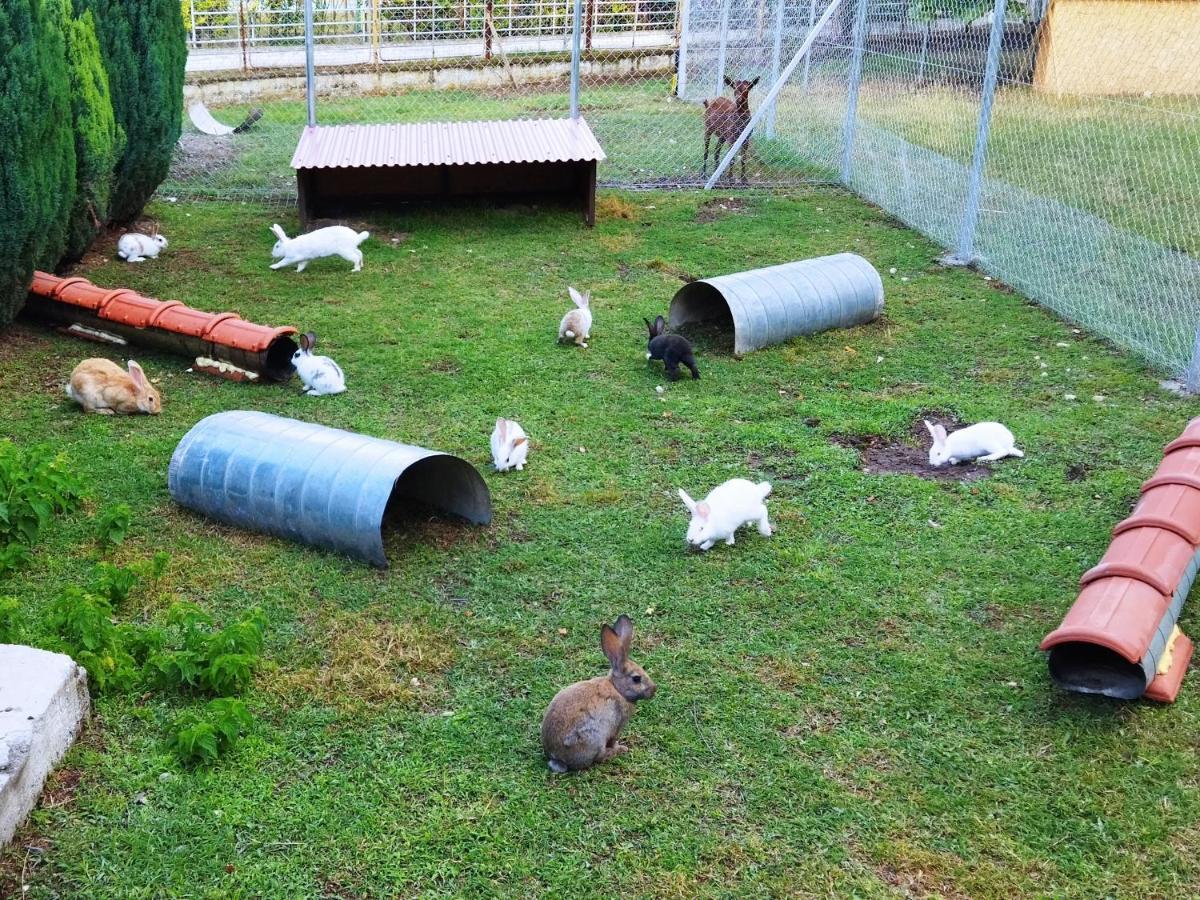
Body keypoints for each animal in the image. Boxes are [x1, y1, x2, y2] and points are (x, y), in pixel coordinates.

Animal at [542, 619, 657, 777]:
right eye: (636, 679)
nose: (654, 690)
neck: (617, 689)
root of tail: (557, 758)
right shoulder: (616, 727)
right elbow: (613, 740)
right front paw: (619, 747)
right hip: (594, 739)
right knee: (598, 757)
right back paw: (617, 751)